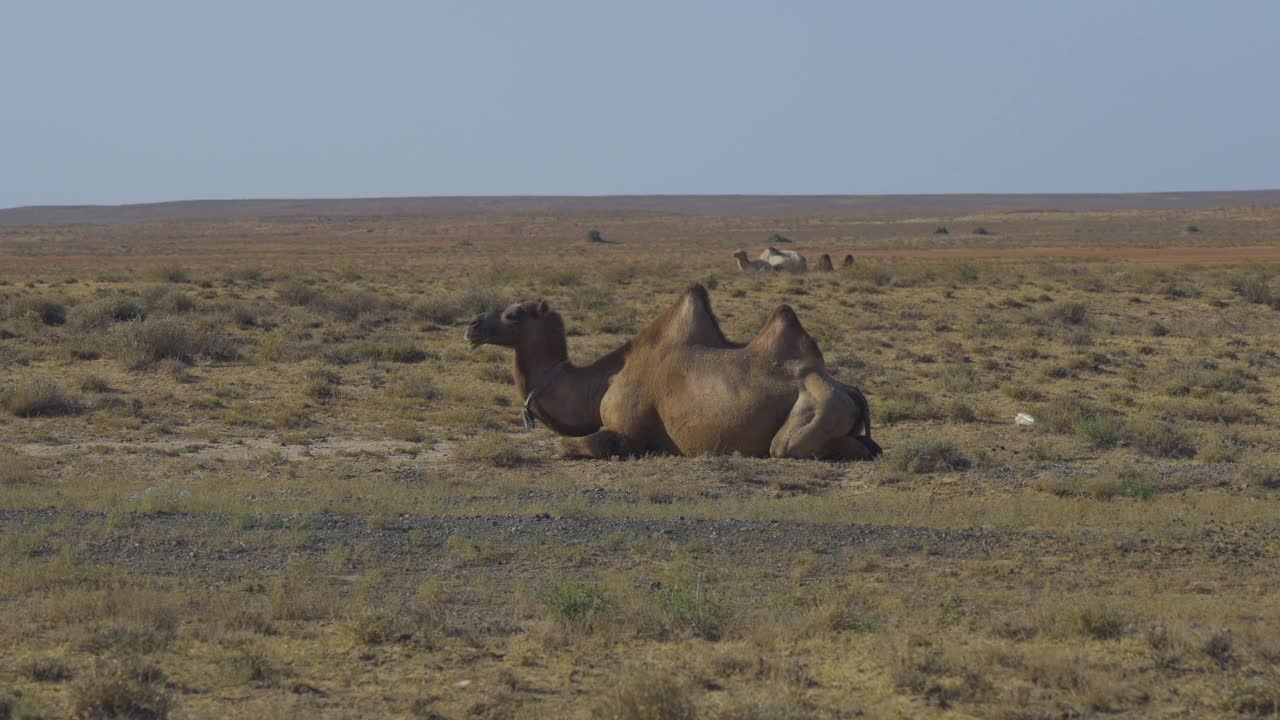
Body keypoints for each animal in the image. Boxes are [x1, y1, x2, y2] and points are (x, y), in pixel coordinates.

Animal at [468, 283, 880, 456]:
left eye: (513, 314)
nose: (472, 326)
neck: (603, 381)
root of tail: (847, 389)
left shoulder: (629, 430)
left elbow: (569, 445)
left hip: (815, 408)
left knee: (789, 447)